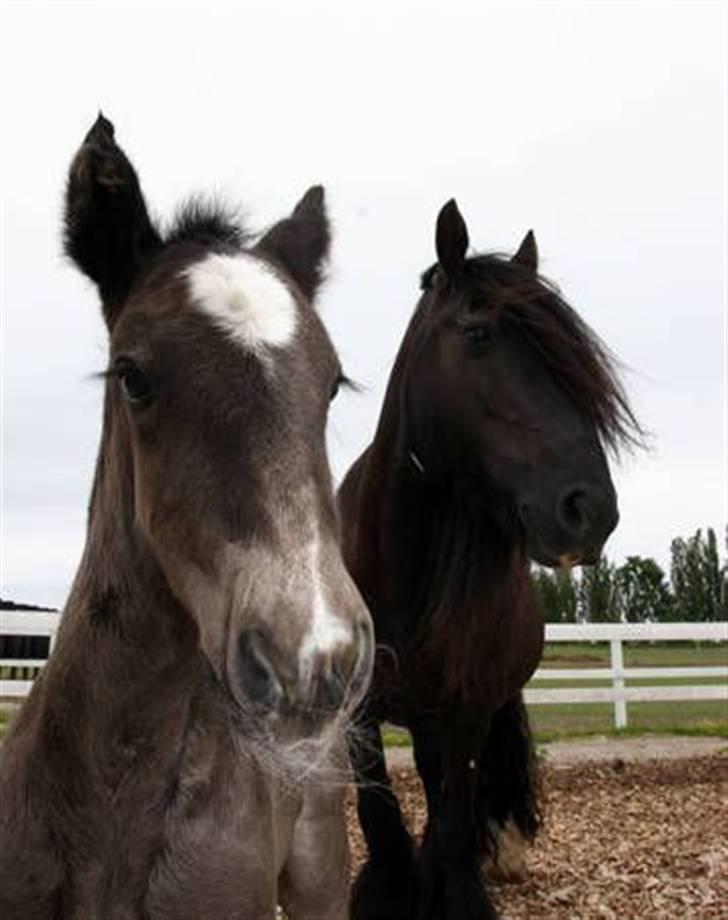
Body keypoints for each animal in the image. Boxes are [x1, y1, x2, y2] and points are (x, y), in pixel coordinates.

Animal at [336, 199, 636, 920]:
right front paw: (389, 889)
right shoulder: (359, 715)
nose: (590, 508)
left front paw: (454, 888)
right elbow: (379, 815)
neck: (401, 565)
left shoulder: (467, 712)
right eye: (477, 335)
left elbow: (450, 820)